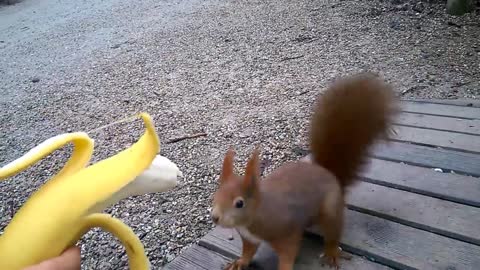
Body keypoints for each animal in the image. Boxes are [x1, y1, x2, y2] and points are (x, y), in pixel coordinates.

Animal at [210, 73, 398, 268]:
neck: (256, 215)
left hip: (330, 209)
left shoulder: (286, 233)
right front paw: (239, 262)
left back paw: (331, 252)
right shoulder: (249, 238)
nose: (215, 217)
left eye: (239, 203)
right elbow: (248, 252)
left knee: (333, 232)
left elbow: (288, 254)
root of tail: (330, 174)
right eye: (215, 196)